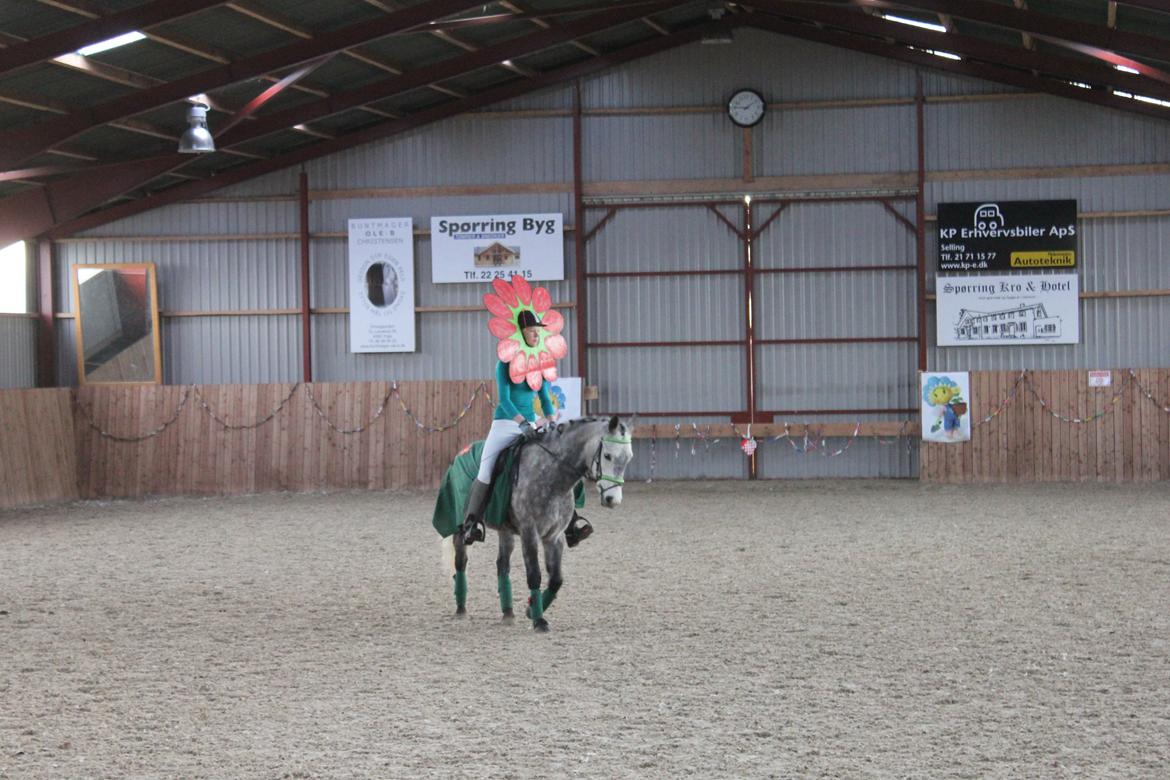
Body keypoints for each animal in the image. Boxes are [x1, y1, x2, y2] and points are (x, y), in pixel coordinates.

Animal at [444, 418, 631, 631]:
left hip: (505, 530)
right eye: (607, 456)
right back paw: (461, 609)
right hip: (460, 526)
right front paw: (539, 620)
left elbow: (556, 579)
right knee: (460, 561)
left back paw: (508, 613)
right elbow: (534, 574)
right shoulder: (529, 532)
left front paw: (531, 609)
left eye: (628, 458)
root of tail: (462, 452)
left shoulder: (554, 536)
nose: (612, 499)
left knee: (502, 565)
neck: (551, 476)